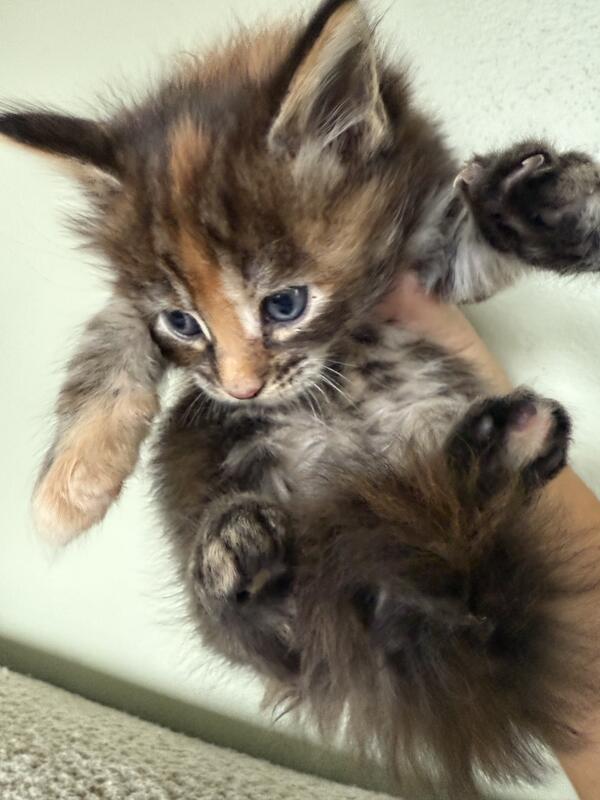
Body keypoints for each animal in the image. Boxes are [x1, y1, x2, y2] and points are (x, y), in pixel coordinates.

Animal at [2, 0, 600, 796]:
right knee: (277, 630)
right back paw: (239, 549)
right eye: (183, 323)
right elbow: (111, 335)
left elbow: (480, 238)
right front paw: (74, 481)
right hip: (214, 473)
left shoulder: (432, 253)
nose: (240, 387)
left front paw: (545, 200)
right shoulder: (141, 315)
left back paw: (506, 448)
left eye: (284, 305)